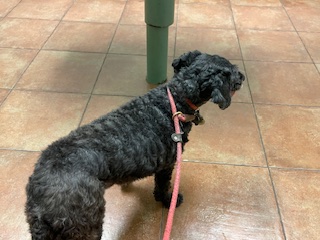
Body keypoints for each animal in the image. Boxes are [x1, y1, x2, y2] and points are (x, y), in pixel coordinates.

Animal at [25, 49, 245, 239]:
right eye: (231, 70)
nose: (243, 76)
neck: (173, 100)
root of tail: (39, 203)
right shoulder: (167, 164)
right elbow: (163, 186)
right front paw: (168, 200)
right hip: (87, 225)